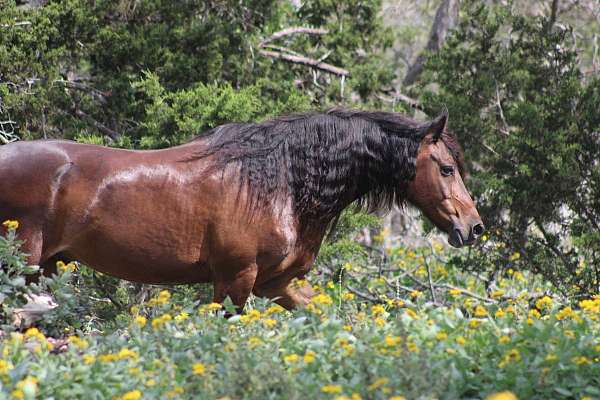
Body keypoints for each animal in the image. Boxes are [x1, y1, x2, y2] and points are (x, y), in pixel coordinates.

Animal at [0, 110, 482, 312]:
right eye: (446, 168)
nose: (474, 228)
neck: (281, 179)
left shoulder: (276, 284)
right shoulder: (236, 278)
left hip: (42, 269)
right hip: (21, 263)